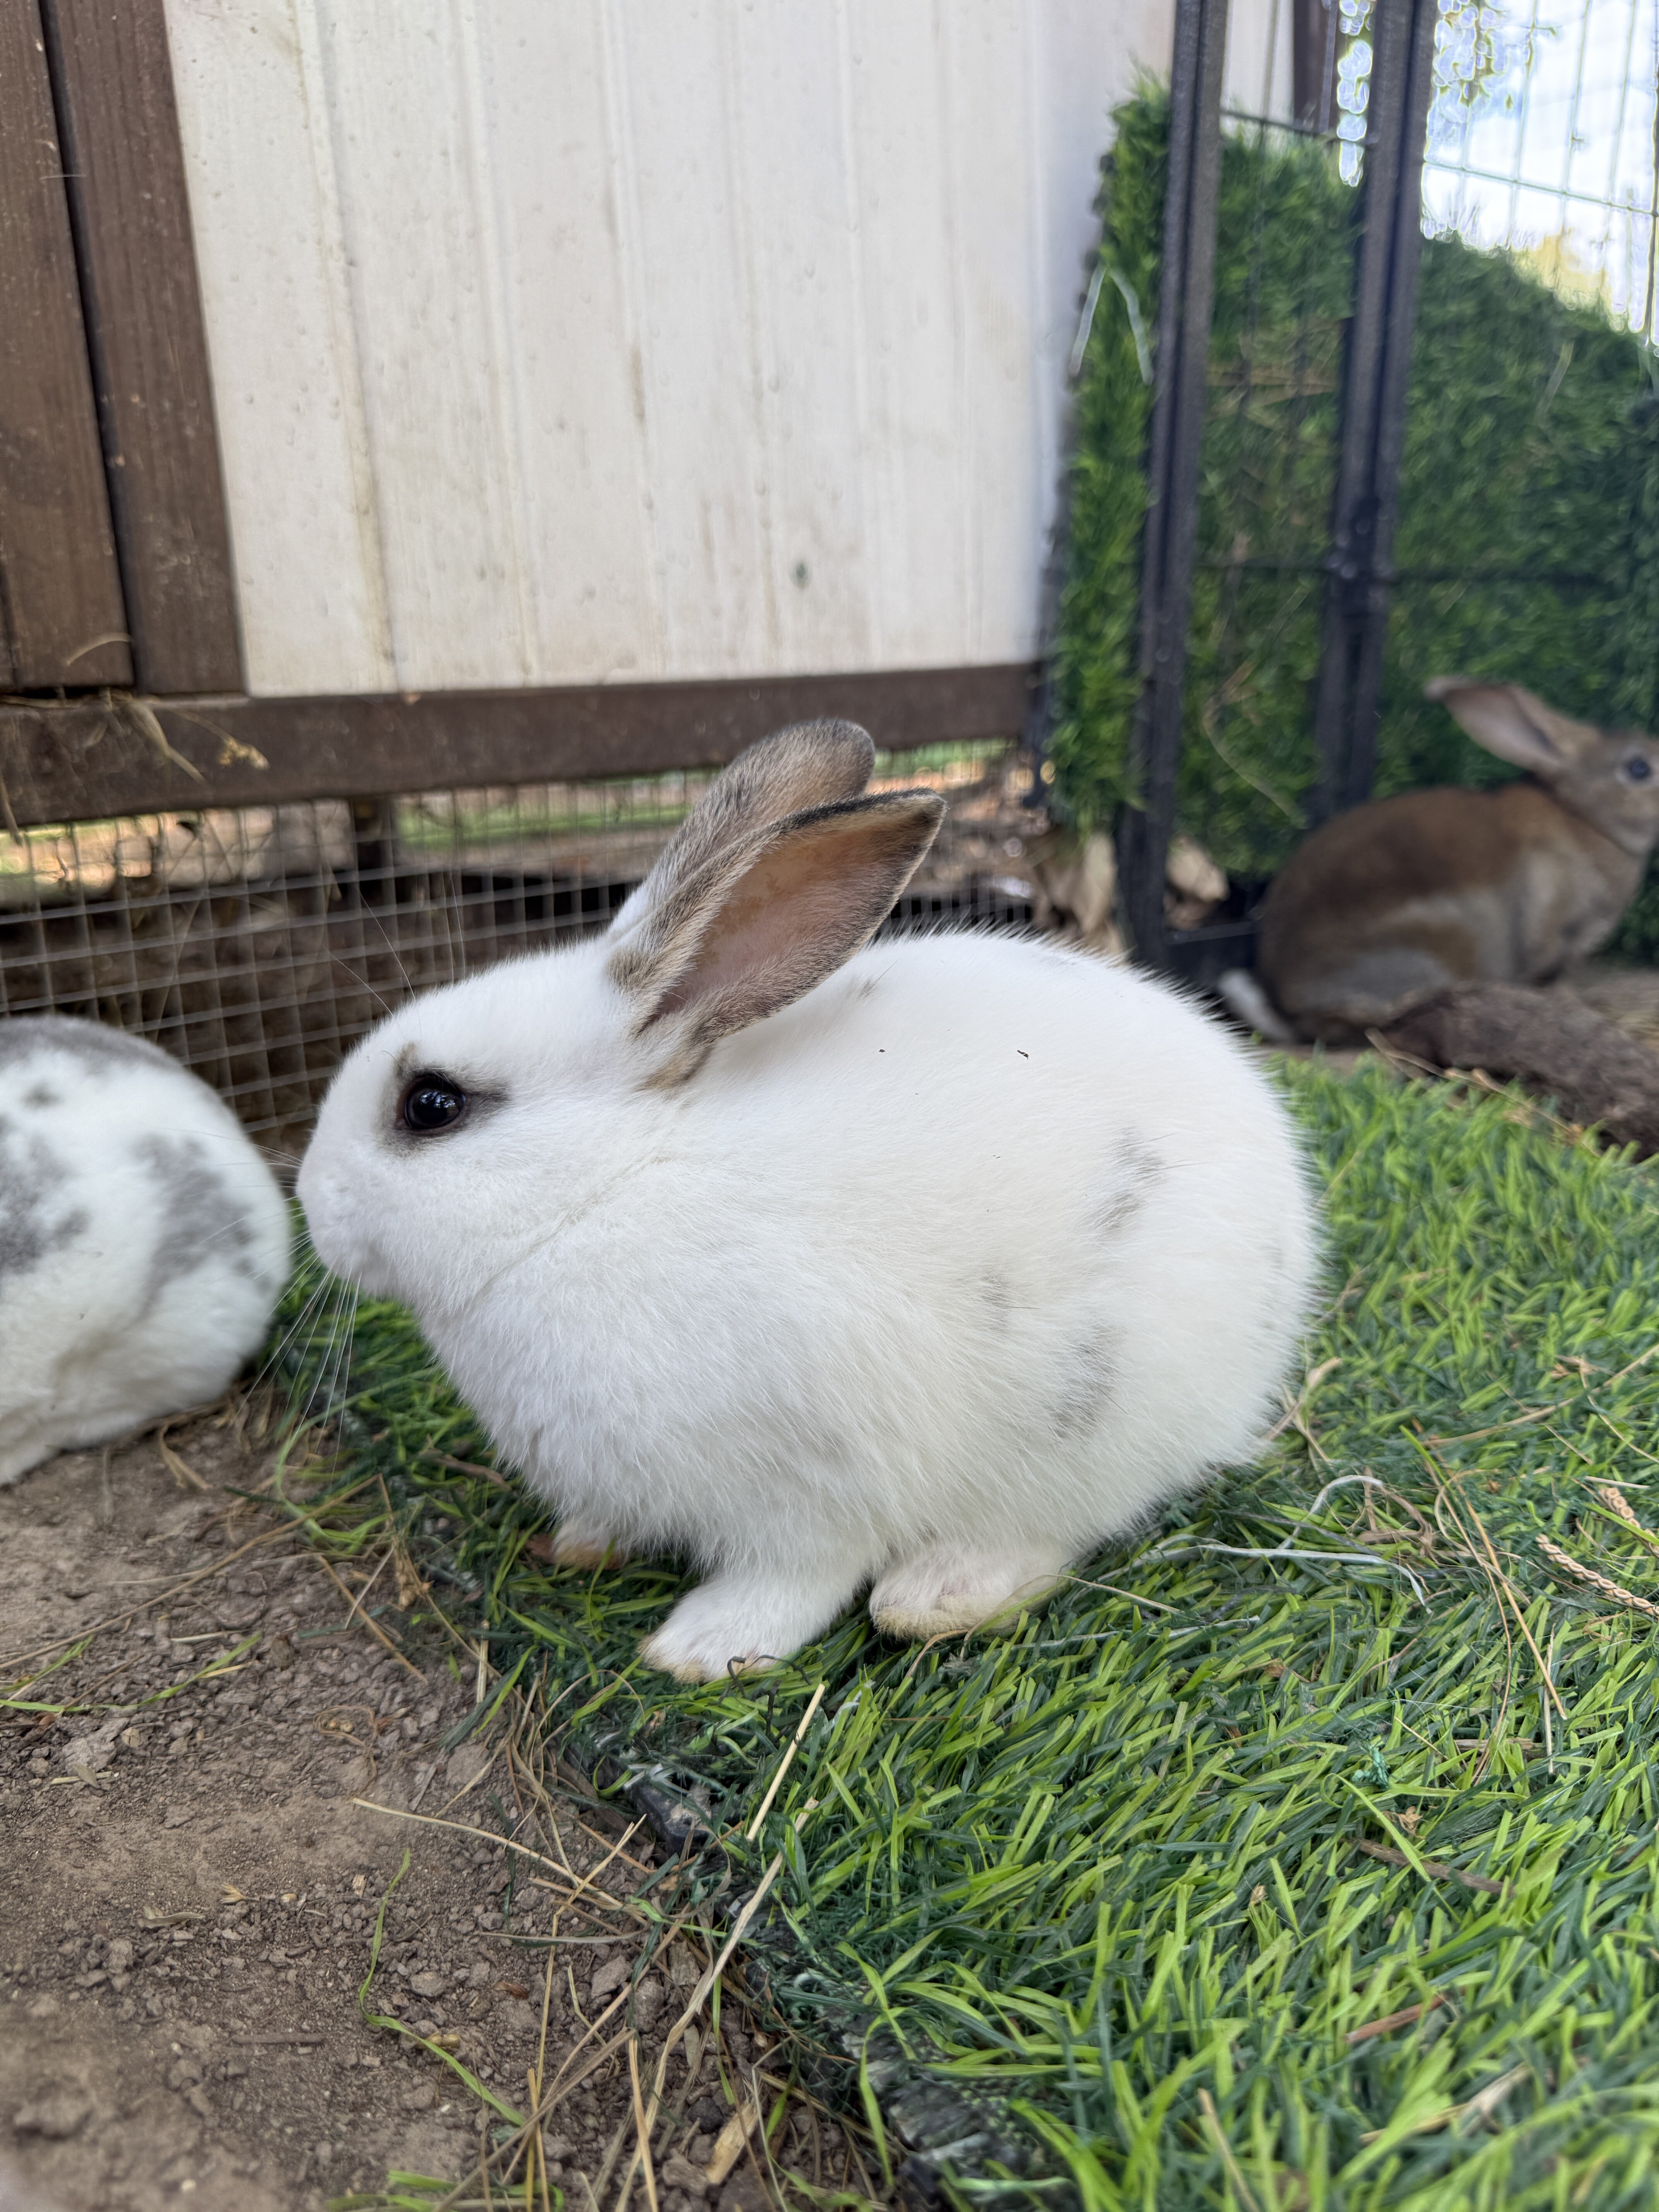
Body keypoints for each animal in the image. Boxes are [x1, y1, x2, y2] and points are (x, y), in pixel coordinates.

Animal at [296, 719, 1316, 1682]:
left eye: (433, 1106)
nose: (309, 1201)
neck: (602, 1192)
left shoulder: (815, 1486)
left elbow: (797, 1578)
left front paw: (702, 1649)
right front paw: (583, 1544)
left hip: (1099, 1423)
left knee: (1057, 1527)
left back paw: (936, 1595)